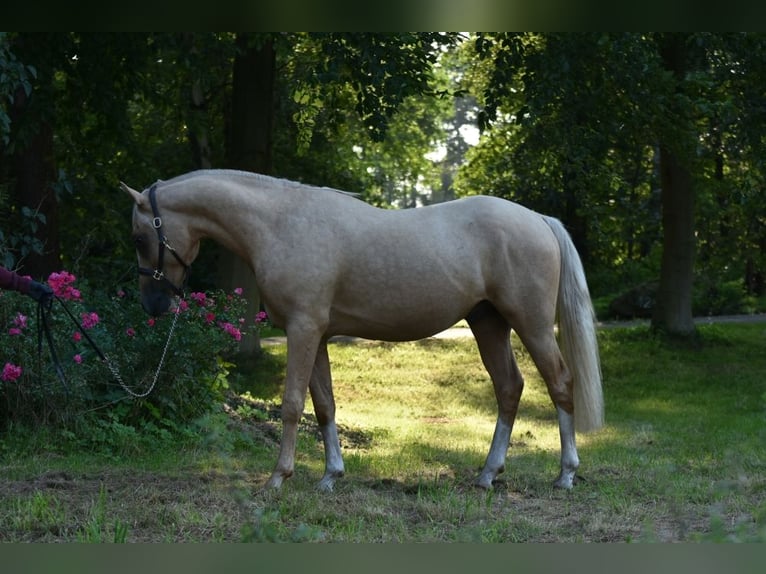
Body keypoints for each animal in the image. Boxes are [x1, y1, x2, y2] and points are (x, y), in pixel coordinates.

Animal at [121, 169, 608, 492]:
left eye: (139, 237)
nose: (153, 304)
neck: (281, 224)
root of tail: (538, 219)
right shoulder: (316, 334)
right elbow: (324, 405)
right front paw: (330, 477)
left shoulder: (302, 329)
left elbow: (292, 404)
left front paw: (278, 479)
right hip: (488, 323)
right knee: (509, 388)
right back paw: (488, 474)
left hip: (532, 324)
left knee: (560, 383)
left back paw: (565, 474)